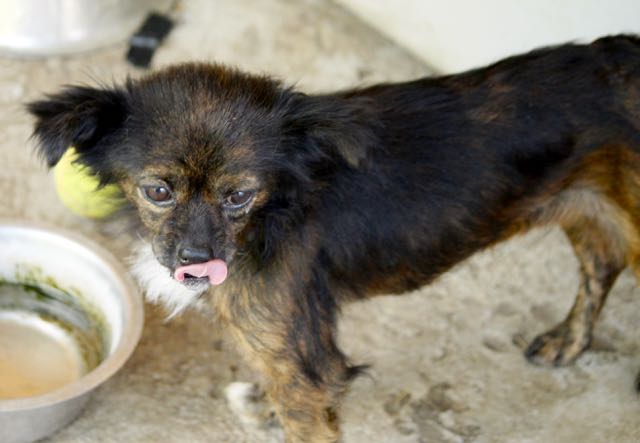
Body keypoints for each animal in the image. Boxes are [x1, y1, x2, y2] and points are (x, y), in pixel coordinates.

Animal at [28, 34, 640, 443]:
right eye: (157, 190)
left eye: (238, 195)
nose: (197, 264)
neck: (274, 213)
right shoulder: (296, 350)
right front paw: (266, 405)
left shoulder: (306, 363)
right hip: (589, 208)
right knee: (601, 262)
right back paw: (568, 341)